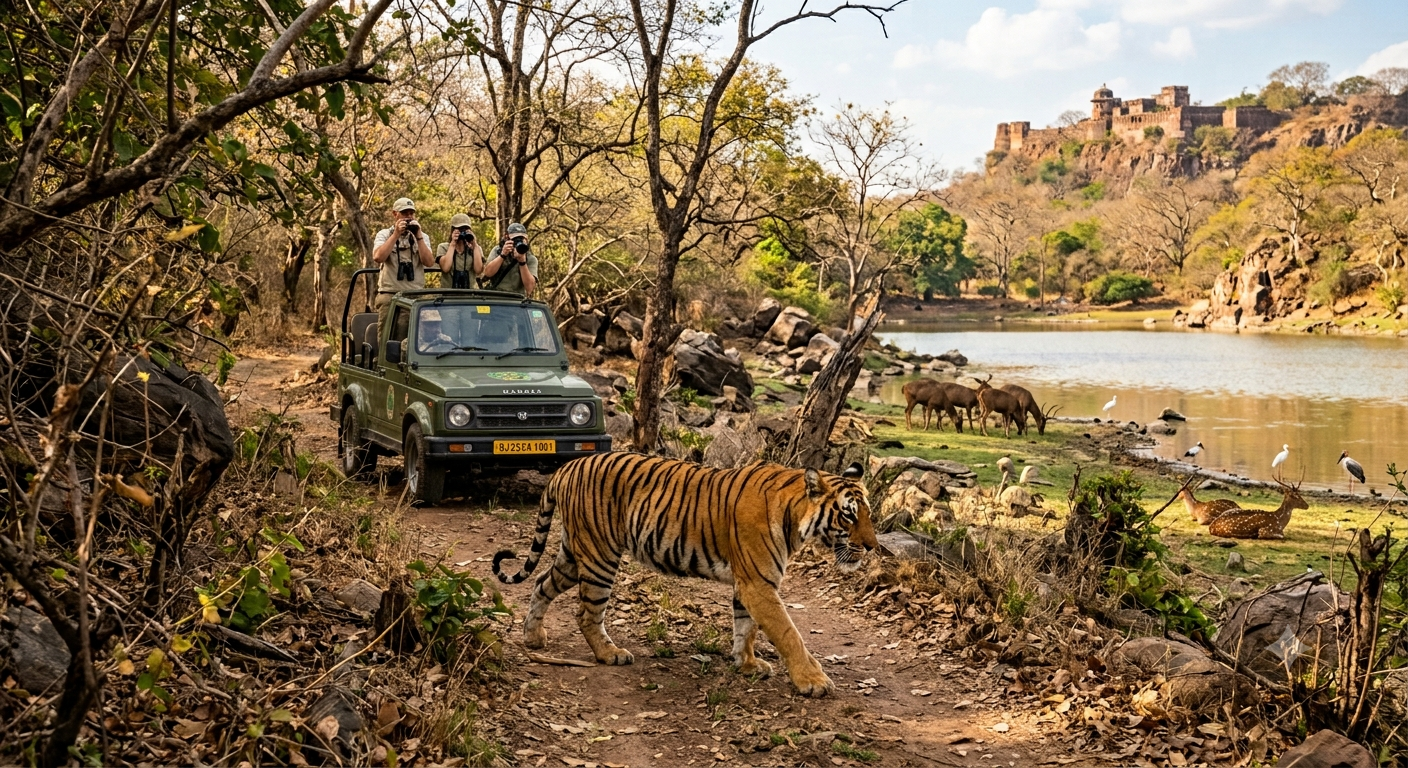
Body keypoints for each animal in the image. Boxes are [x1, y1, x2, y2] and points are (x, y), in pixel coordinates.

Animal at [492, 452, 877, 698]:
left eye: (869, 514)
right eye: (848, 515)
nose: (873, 547)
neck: (795, 516)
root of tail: (567, 466)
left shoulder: (749, 584)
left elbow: (746, 628)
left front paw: (747, 664)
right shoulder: (759, 584)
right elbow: (788, 633)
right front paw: (813, 681)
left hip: (575, 553)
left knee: (542, 583)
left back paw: (533, 637)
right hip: (600, 555)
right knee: (586, 613)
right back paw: (610, 654)